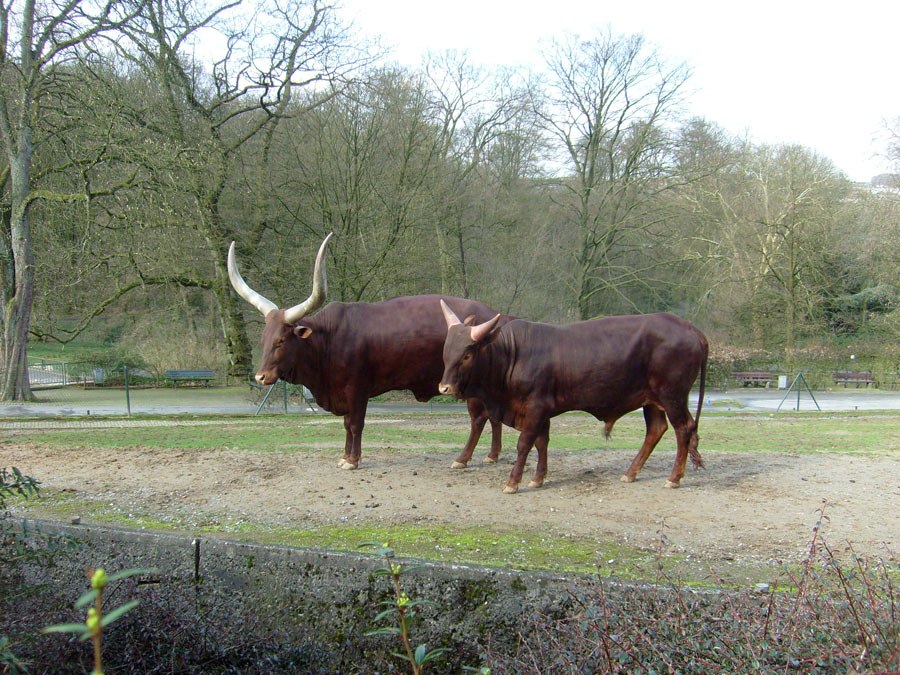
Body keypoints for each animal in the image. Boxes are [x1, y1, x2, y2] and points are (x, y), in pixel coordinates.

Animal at [227, 235, 512, 472]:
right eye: (264, 338)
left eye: (282, 339)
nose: (260, 377)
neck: (328, 339)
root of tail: (495, 317)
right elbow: (346, 424)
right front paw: (344, 456)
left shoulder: (357, 389)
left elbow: (355, 423)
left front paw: (352, 461)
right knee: (493, 415)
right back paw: (492, 455)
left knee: (478, 419)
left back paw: (462, 459)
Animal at [438, 300, 712, 492]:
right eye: (446, 351)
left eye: (467, 354)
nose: (444, 388)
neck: (513, 355)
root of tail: (691, 329)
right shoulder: (542, 412)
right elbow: (542, 442)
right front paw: (538, 479)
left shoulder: (535, 408)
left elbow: (525, 444)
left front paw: (513, 482)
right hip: (652, 400)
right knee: (656, 430)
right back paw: (631, 473)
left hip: (673, 396)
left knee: (684, 430)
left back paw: (674, 478)